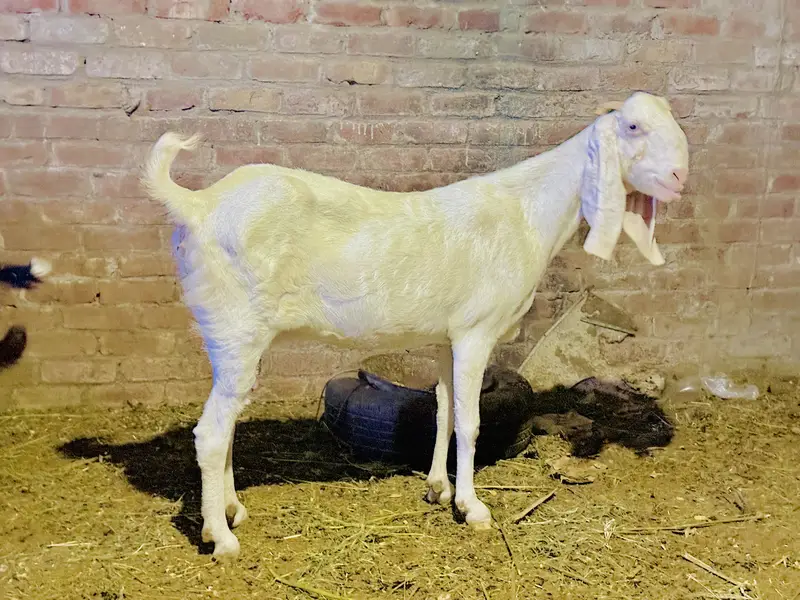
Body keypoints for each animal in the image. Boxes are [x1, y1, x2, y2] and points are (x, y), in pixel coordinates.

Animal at [142, 91, 689, 558]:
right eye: (634, 126)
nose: (680, 176)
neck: (525, 213)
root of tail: (199, 204)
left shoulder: (446, 339)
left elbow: (444, 411)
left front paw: (438, 488)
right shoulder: (476, 332)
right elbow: (470, 422)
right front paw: (473, 507)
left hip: (236, 340)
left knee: (227, 424)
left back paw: (233, 509)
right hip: (236, 329)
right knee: (211, 433)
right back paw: (220, 538)